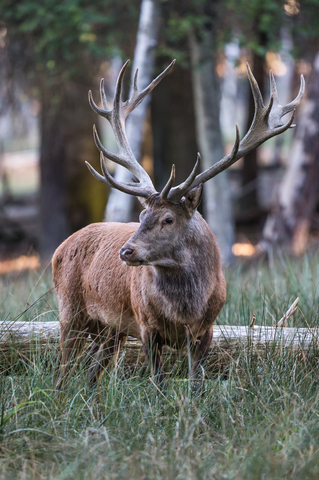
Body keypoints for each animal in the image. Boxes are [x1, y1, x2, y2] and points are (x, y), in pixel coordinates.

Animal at [52, 58, 304, 384]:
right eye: (141, 215)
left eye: (168, 219)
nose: (126, 251)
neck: (185, 311)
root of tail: (60, 248)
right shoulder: (146, 326)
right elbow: (157, 382)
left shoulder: (207, 330)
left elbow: (197, 383)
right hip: (69, 309)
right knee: (63, 371)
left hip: (110, 330)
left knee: (91, 373)